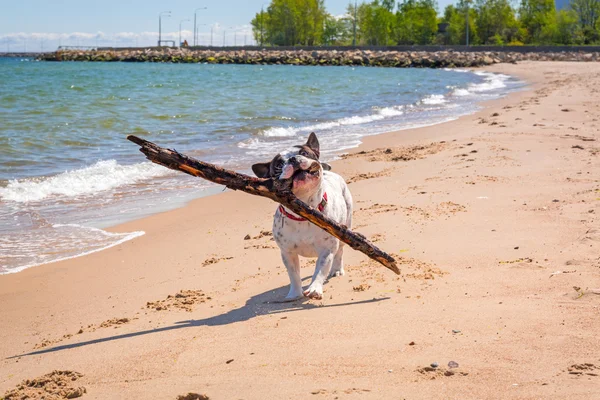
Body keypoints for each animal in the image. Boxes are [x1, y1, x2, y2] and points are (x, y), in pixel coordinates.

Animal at [252, 133, 354, 302]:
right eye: (279, 164)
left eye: (304, 153)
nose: (293, 159)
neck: (304, 210)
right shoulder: (288, 254)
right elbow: (294, 275)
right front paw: (294, 294)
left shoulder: (326, 250)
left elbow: (320, 270)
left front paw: (314, 289)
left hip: (345, 227)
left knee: (339, 251)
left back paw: (337, 269)